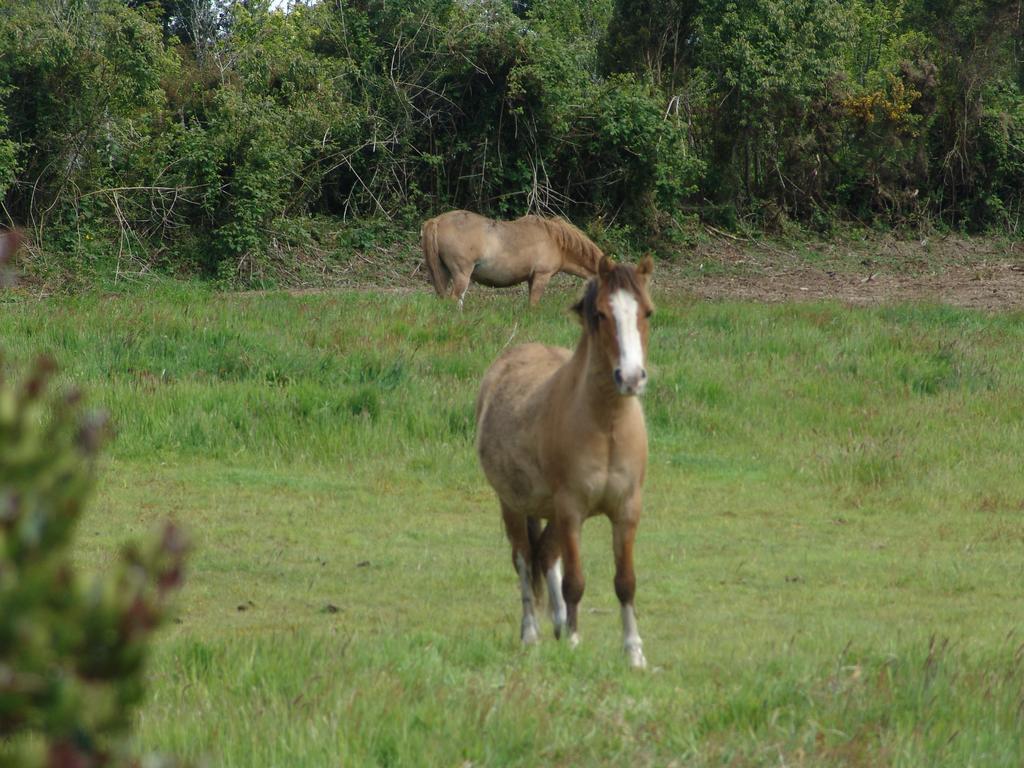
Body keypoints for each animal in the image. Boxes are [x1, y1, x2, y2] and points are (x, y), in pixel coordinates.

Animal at [419, 210, 602, 309]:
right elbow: (533, 305)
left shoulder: (532, 279)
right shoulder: (542, 276)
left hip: (443, 273)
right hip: (462, 275)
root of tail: (436, 221)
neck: (556, 241)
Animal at [473, 256, 655, 671]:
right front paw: (573, 642)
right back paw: (532, 633)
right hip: (514, 505)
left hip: (551, 512)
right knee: (525, 560)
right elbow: (575, 581)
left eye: (648, 312)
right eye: (601, 314)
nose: (631, 378)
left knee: (545, 555)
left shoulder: (627, 510)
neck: (606, 426)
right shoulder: (572, 510)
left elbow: (626, 582)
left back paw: (556, 622)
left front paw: (634, 652)